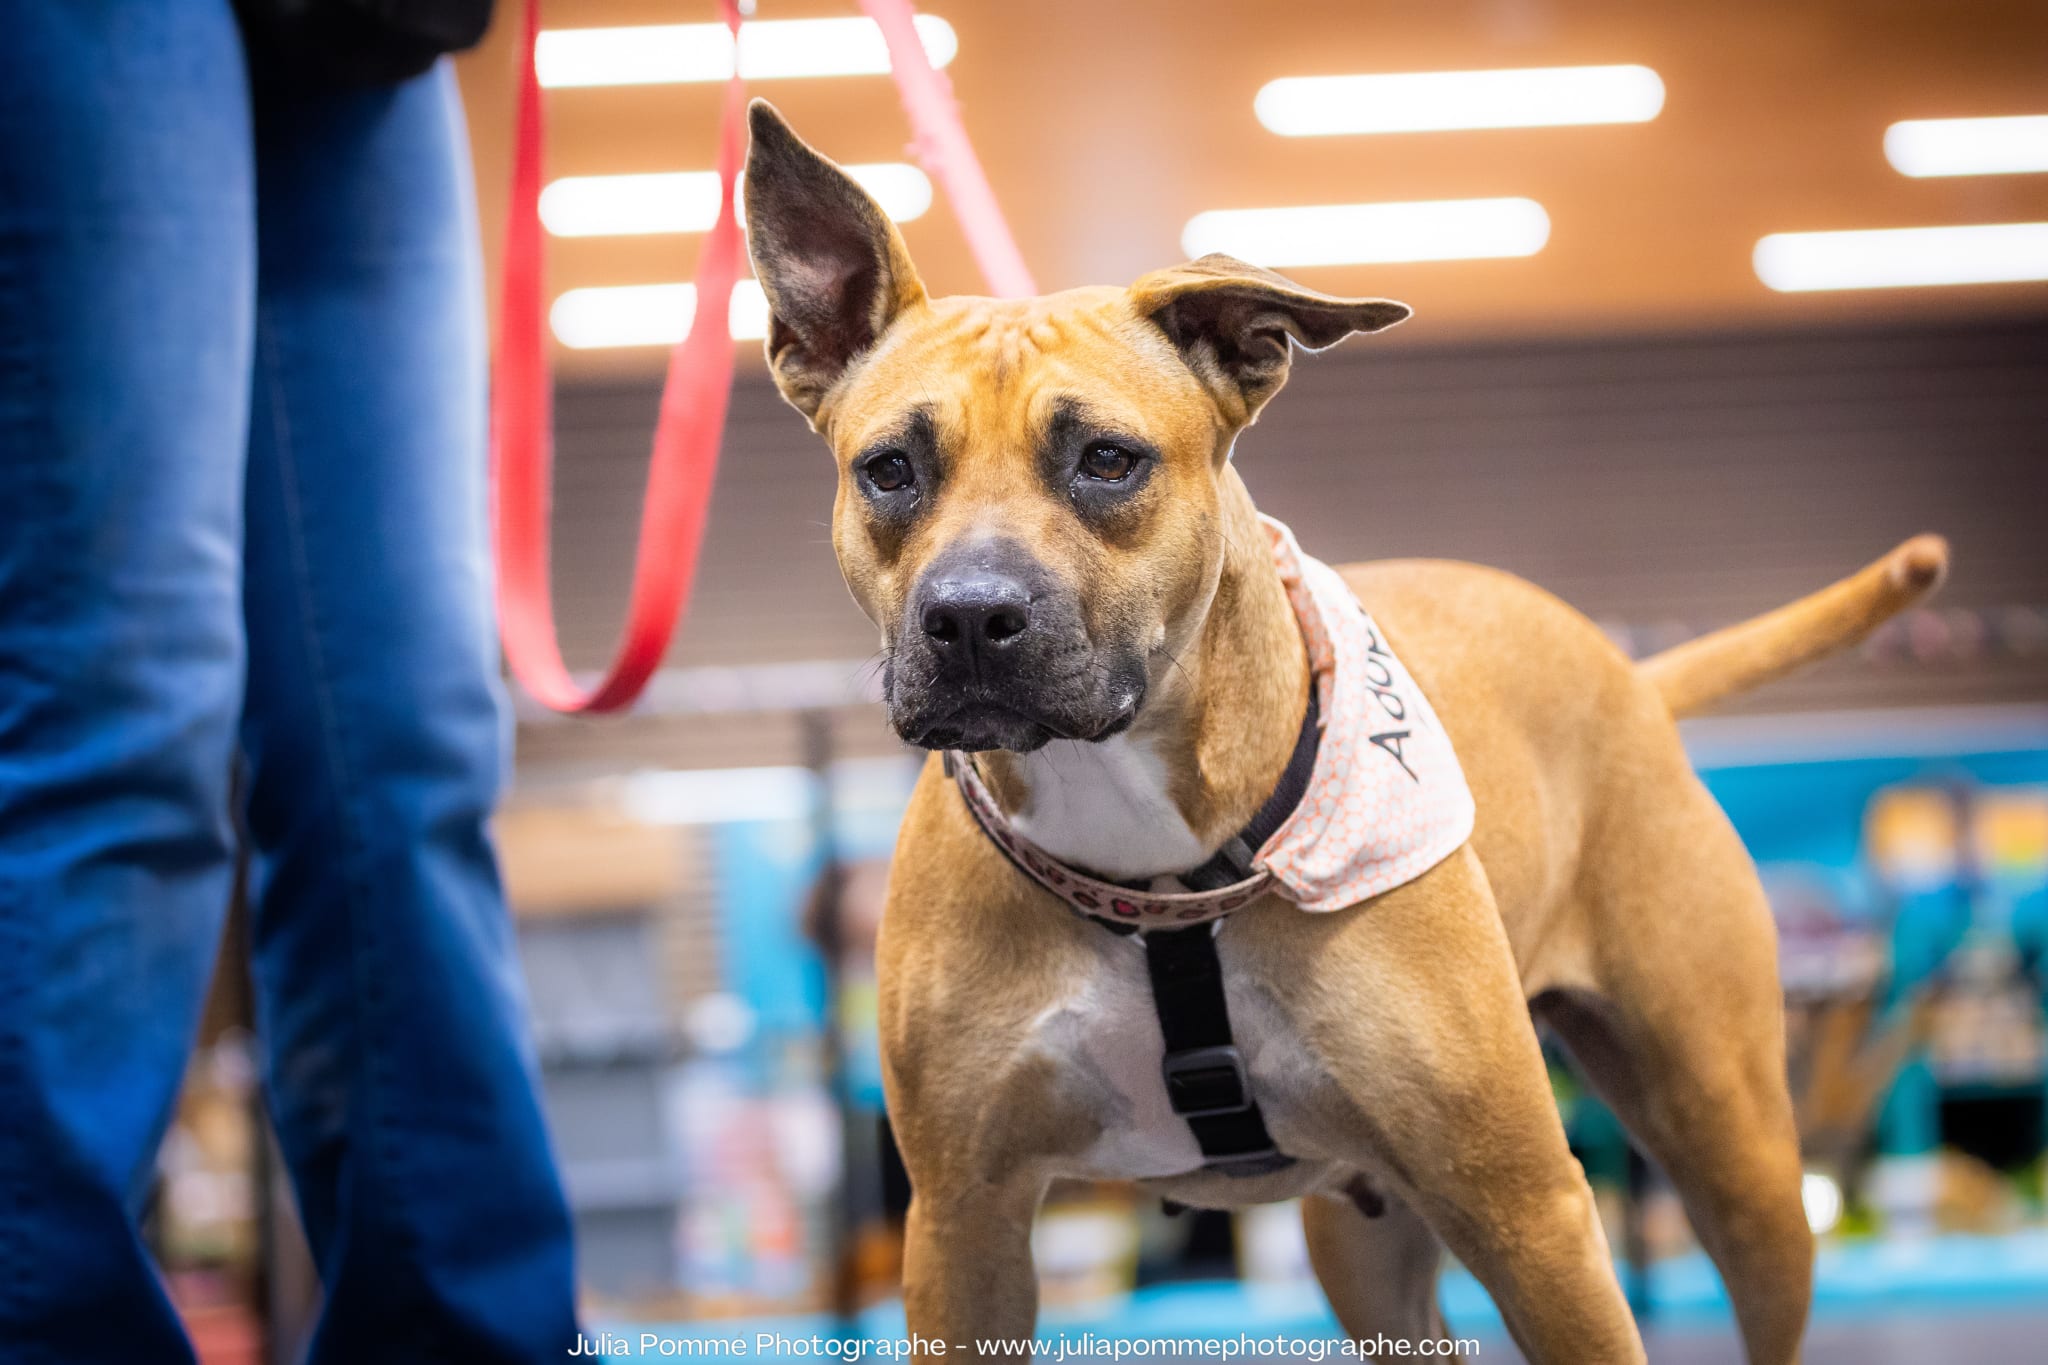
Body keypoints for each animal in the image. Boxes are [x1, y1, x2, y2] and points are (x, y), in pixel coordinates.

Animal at [741, 98, 1949, 1365]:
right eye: (889, 470)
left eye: (1106, 460)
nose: (970, 616)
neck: (1153, 873)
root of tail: (1624, 671)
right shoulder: (962, 1229)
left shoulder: (1529, 1213)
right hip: (1363, 1238)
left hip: (1737, 1159)